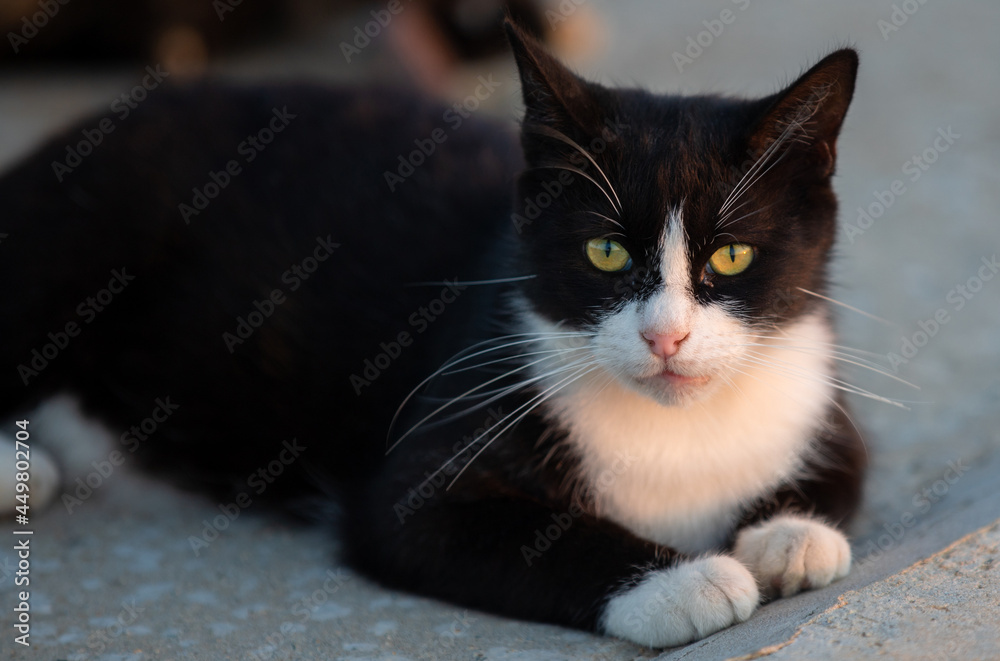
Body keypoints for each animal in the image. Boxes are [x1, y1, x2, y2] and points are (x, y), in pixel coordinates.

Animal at [0, 19, 864, 644]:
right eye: (607, 251)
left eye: (731, 254)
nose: (667, 338)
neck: (676, 437)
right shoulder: (423, 469)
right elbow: (510, 527)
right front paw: (684, 579)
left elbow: (843, 470)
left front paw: (790, 535)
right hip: (79, 233)